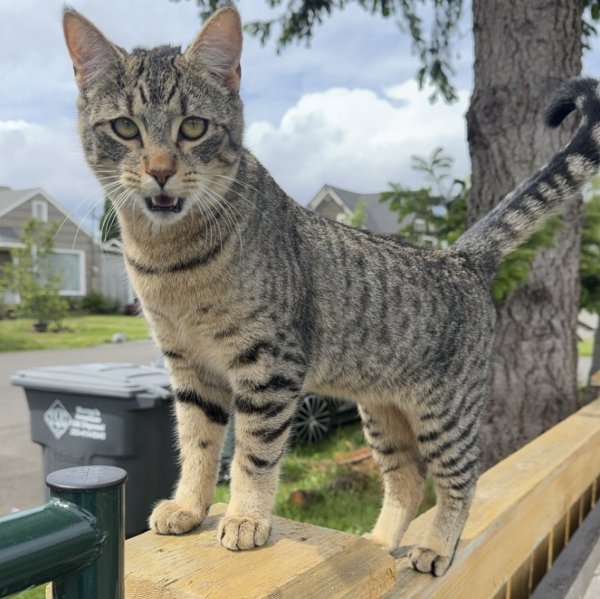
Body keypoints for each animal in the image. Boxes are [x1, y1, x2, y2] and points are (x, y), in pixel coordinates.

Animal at [63, 4, 600, 576]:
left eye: (193, 127)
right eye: (125, 127)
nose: (161, 172)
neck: (170, 260)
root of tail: (459, 257)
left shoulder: (269, 364)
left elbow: (253, 452)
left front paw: (245, 517)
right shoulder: (187, 366)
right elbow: (197, 443)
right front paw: (189, 506)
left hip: (447, 413)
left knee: (460, 480)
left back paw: (435, 547)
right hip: (382, 412)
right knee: (407, 479)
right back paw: (378, 543)